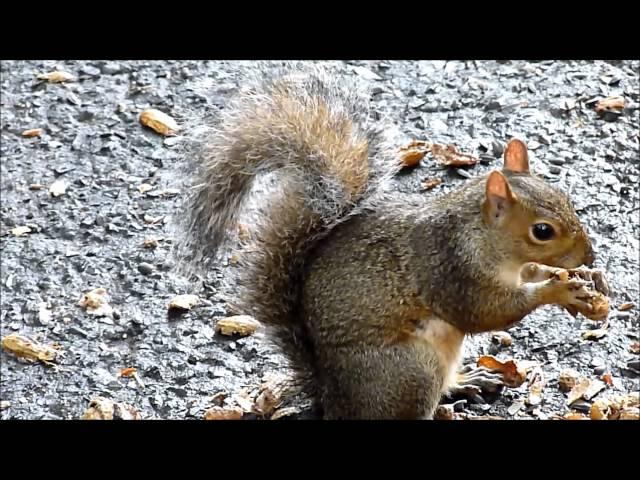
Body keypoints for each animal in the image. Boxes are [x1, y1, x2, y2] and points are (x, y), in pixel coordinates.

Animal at [180, 64, 604, 420]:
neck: (482, 236)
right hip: (410, 371)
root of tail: (331, 397)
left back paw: (469, 381)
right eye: (542, 231)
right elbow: (489, 312)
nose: (589, 255)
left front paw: (576, 283)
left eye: (566, 197)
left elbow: (527, 277)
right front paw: (558, 290)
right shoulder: (451, 269)